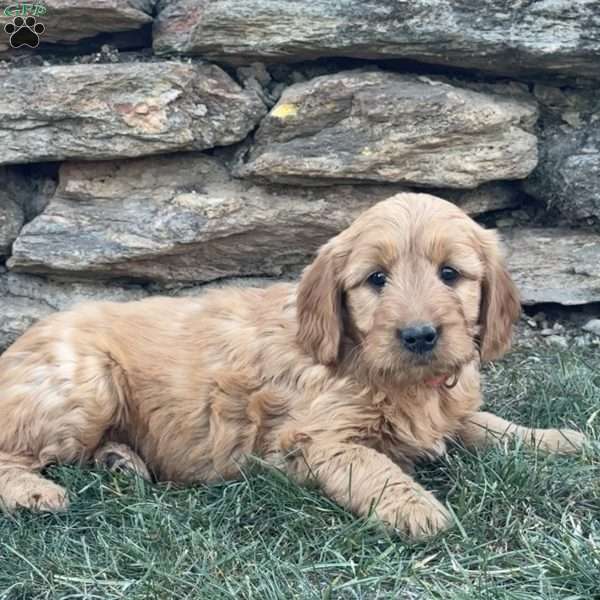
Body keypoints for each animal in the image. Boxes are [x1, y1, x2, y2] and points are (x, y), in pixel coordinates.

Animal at [0, 193, 584, 540]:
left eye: (450, 274)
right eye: (376, 279)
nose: (419, 335)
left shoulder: (449, 412)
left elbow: (489, 424)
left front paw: (557, 438)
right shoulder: (317, 439)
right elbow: (375, 468)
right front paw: (415, 508)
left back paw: (120, 460)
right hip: (84, 389)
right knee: (12, 452)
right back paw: (36, 492)